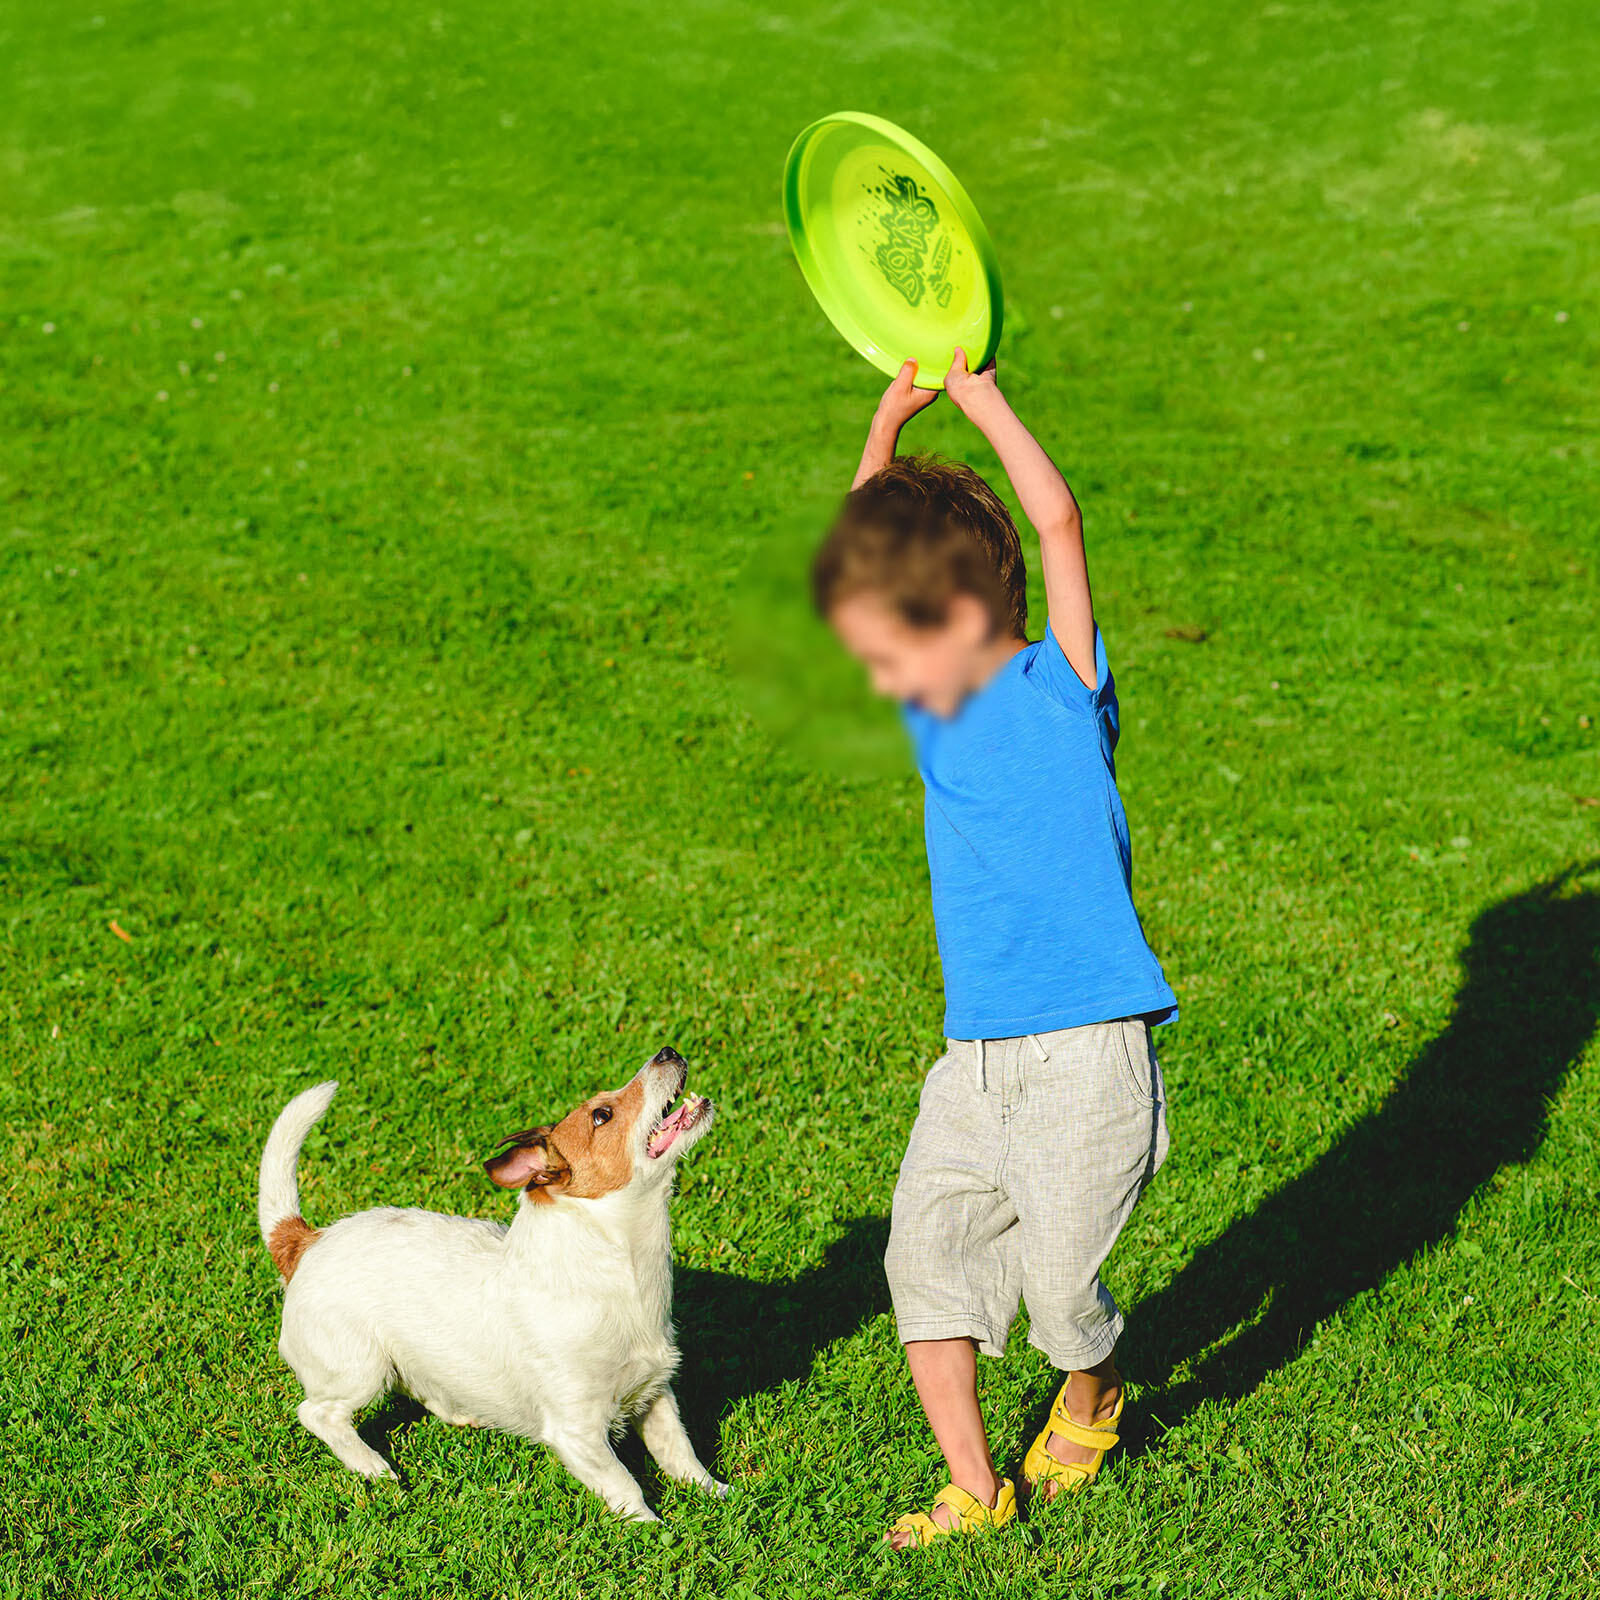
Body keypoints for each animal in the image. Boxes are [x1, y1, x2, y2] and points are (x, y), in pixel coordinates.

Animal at [257, 1045, 724, 1520]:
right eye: (601, 1115)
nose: (667, 1051)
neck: (620, 1267)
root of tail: (306, 1241)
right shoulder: (577, 1431)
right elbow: (625, 1485)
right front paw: (650, 1527)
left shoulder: (656, 1392)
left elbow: (679, 1451)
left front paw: (716, 1493)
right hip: (359, 1370)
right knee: (318, 1414)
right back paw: (370, 1465)